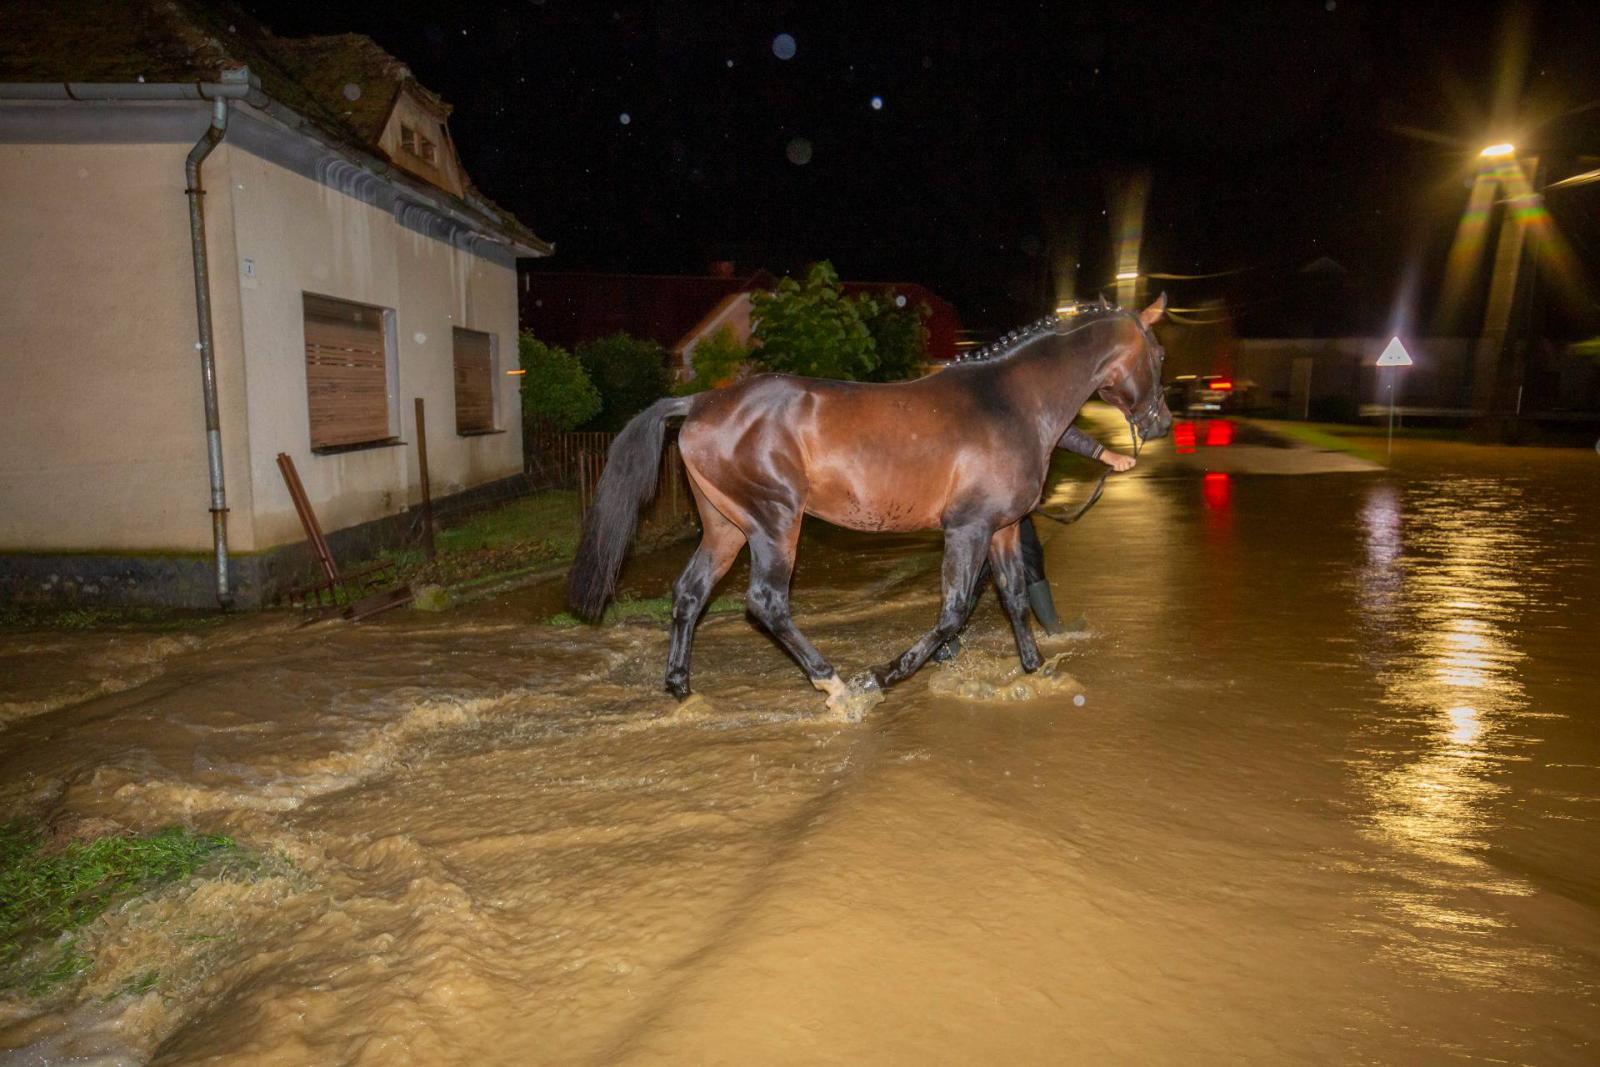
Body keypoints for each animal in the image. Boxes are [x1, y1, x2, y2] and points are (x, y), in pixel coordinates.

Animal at [569, 295, 1171, 716]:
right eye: (1160, 355)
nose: (1161, 424)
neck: (1008, 401)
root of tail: (699, 401)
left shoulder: (1004, 528)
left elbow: (1015, 597)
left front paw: (1036, 668)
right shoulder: (968, 528)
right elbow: (953, 611)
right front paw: (881, 676)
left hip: (725, 527)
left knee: (691, 593)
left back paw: (681, 688)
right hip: (774, 521)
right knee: (766, 602)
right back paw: (834, 684)